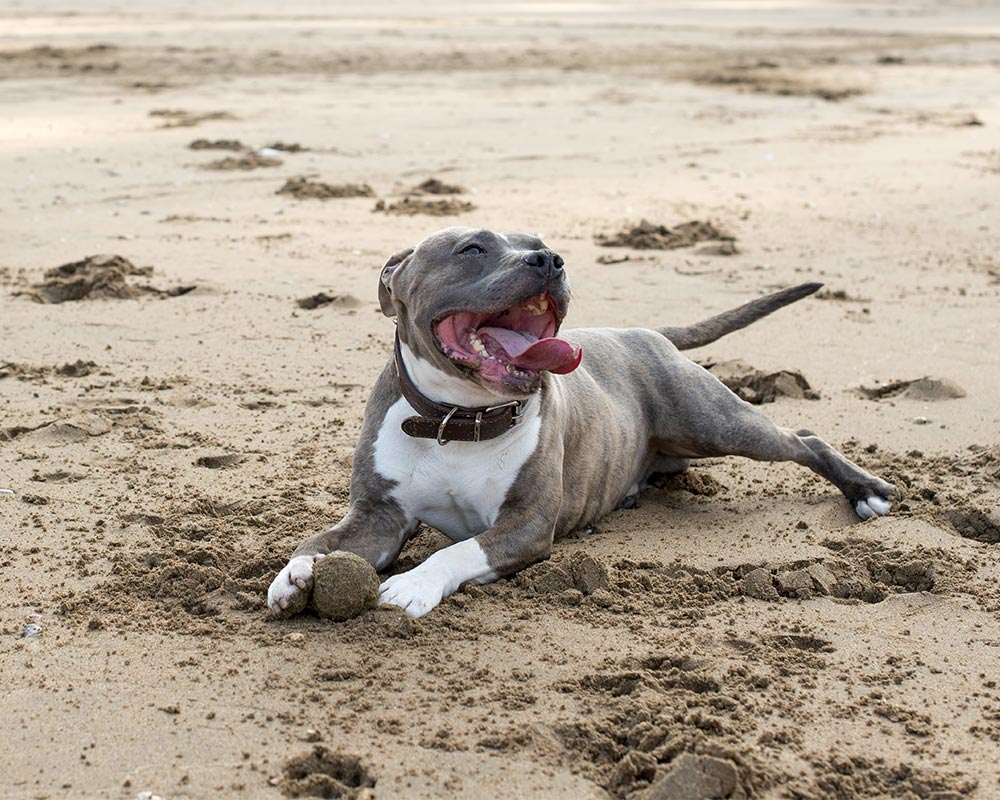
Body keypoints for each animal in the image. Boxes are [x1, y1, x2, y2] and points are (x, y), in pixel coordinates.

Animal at [264, 225, 892, 620]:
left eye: (539, 245)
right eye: (472, 248)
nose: (549, 259)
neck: (457, 419)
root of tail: (645, 331)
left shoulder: (526, 525)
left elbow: (457, 551)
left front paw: (413, 584)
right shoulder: (378, 517)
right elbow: (318, 540)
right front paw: (296, 573)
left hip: (718, 423)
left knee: (803, 438)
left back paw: (866, 490)